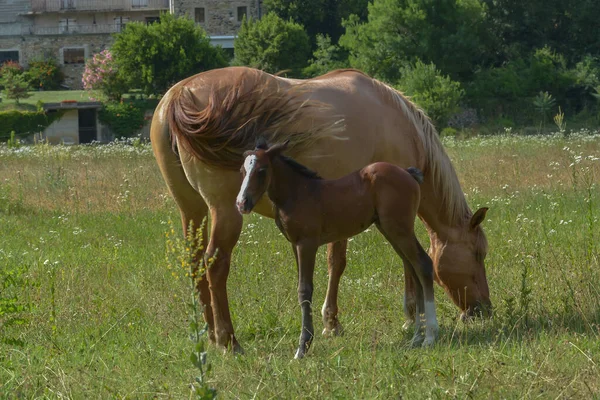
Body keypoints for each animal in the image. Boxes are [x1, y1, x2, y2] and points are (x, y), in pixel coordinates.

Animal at [237, 141, 438, 360]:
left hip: (399, 230)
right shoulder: (294, 244)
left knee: (423, 264)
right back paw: (417, 336)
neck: (298, 193)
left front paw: (303, 347)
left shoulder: (307, 244)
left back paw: (429, 336)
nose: (241, 203)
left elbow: (304, 290)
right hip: (390, 231)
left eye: (262, 170)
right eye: (242, 170)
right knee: (414, 267)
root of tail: (408, 173)